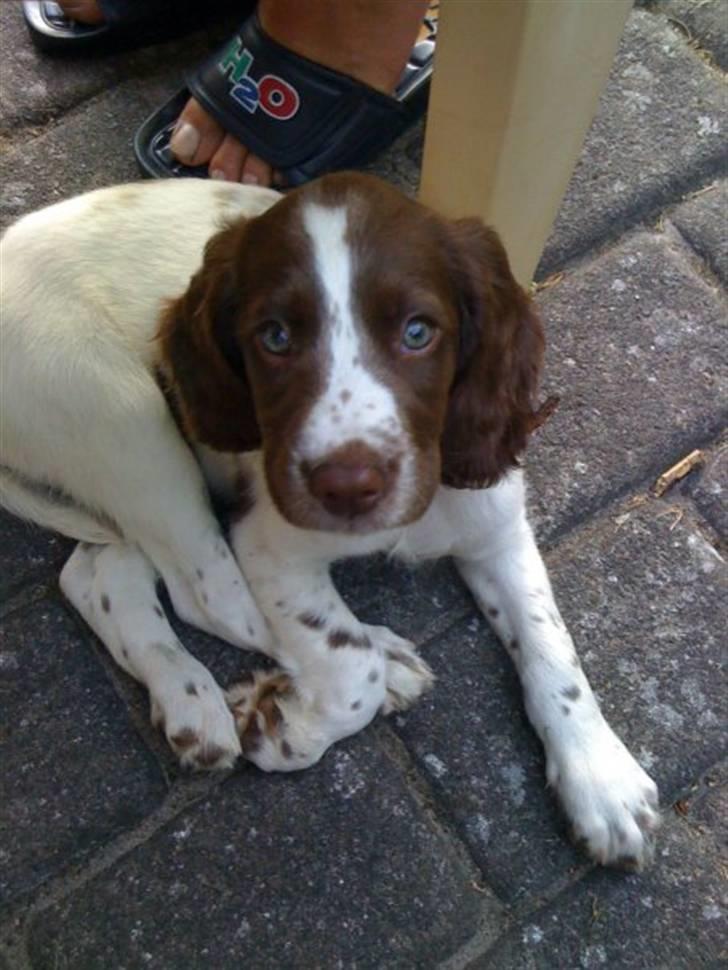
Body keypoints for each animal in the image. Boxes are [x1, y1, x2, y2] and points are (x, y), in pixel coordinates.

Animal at [0, 174, 660, 868]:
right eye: (275, 338)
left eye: (419, 332)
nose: (346, 484)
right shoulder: (272, 546)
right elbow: (347, 667)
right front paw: (289, 726)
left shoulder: (495, 524)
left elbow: (550, 641)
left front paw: (602, 779)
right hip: (125, 417)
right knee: (204, 594)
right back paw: (375, 662)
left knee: (97, 573)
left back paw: (187, 699)